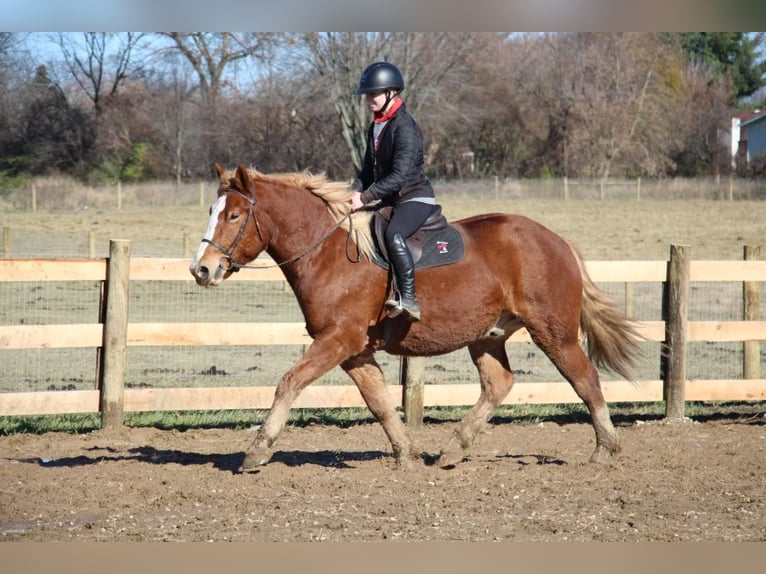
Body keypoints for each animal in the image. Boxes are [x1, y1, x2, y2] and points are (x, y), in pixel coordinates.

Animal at [190, 164, 640, 474]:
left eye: (233, 216)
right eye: (212, 210)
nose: (202, 269)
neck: (330, 252)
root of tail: (556, 240)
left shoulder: (337, 340)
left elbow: (289, 383)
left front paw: (258, 450)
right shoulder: (354, 351)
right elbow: (379, 403)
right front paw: (406, 453)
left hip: (553, 333)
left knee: (585, 379)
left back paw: (605, 448)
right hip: (488, 336)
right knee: (498, 384)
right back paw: (453, 448)